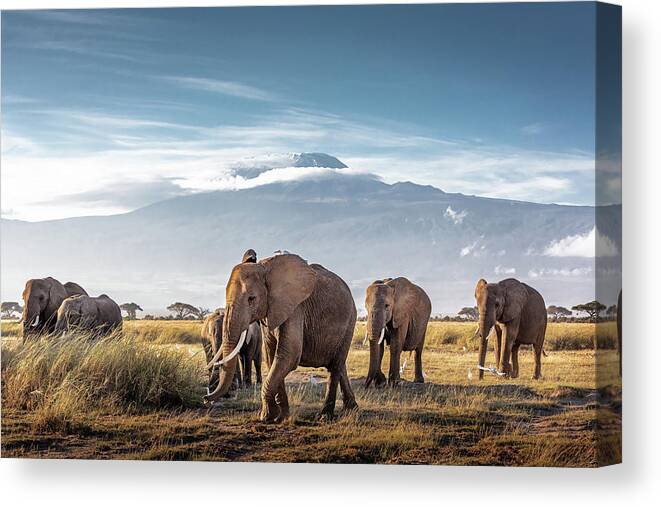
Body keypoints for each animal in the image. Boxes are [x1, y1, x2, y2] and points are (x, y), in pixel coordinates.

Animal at [204, 254, 358, 424]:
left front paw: (265, 417)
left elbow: (288, 355)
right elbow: (272, 356)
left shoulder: (296, 308)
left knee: (335, 366)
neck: (265, 268)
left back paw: (325, 417)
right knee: (339, 364)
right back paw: (352, 409)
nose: (205, 399)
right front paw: (281, 417)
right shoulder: (270, 312)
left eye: (251, 298)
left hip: (350, 321)